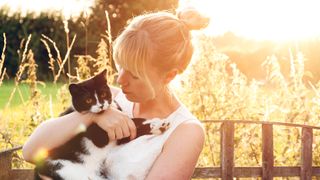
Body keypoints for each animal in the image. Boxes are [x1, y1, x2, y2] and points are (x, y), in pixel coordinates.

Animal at [34, 69, 170, 179]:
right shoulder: (101, 137)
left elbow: (134, 122)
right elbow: (132, 123)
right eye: (88, 100)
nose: (101, 105)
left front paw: (159, 123)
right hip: (66, 169)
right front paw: (156, 124)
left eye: (103, 94)